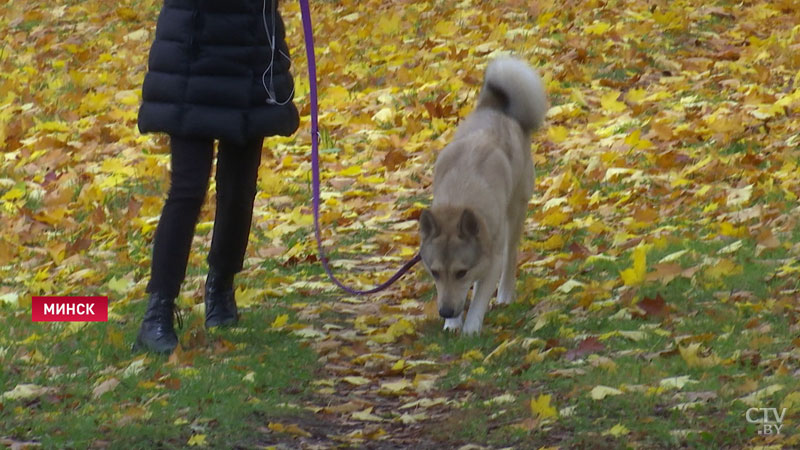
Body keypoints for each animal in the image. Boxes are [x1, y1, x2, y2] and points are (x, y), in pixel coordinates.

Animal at [416, 57, 548, 334]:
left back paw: (505, 294)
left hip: (516, 210)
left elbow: (479, 297)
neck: (459, 201)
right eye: (434, 272)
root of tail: (494, 108)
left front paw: (470, 328)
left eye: (461, 272)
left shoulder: (492, 257)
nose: (445, 311)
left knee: (510, 255)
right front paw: (453, 324)